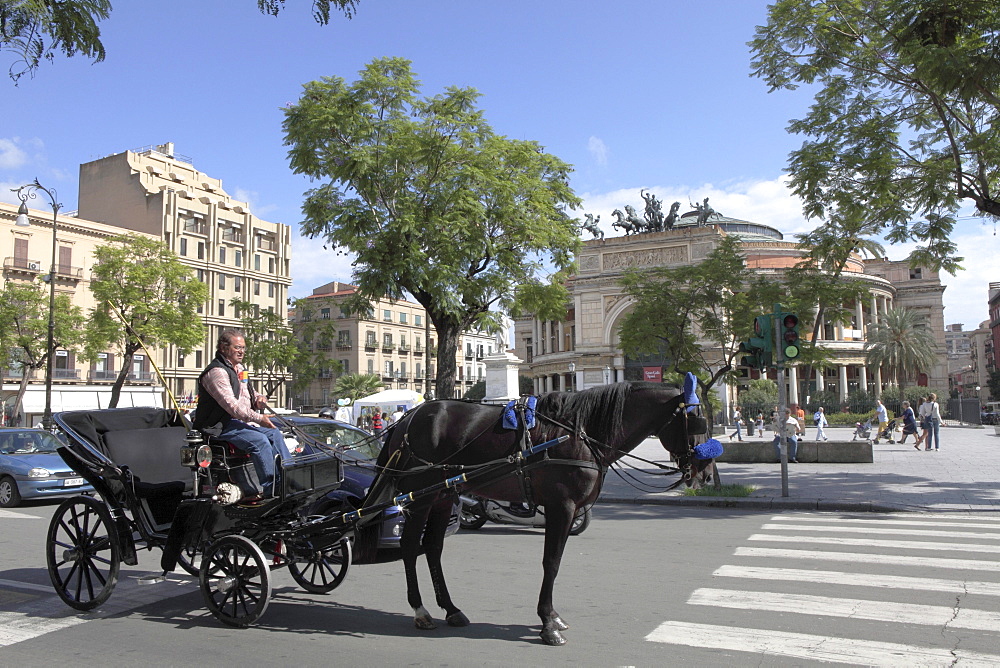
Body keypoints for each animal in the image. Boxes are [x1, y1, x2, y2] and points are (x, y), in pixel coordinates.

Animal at [364, 380, 716, 648]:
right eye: (698, 420)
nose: (707, 471)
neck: (580, 432)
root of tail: (407, 419)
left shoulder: (565, 510)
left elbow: (554, 562)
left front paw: (551, 617)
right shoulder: (562, 508)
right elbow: (552, 563)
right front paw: (547, 622)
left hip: (442, 496)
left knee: (433, 547)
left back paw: (450, 609)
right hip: (420, 497)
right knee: (411, 546)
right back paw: (420, 610)